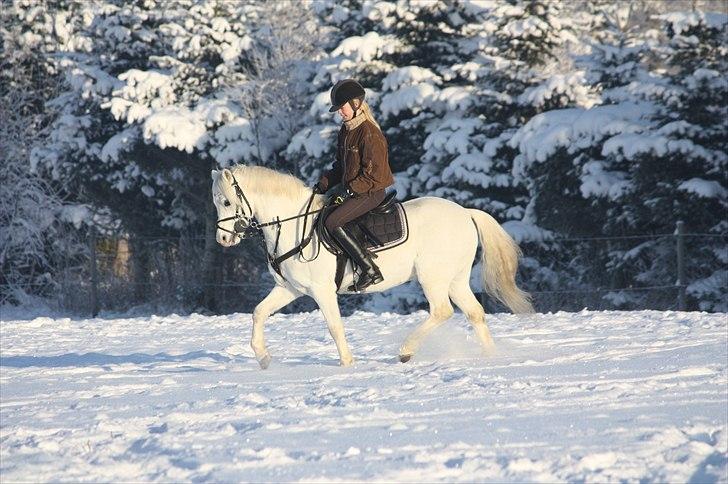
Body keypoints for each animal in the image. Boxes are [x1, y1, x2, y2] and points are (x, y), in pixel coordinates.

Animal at [210, 164, 536, 368]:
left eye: (226, 202)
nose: (223, 239)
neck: (293, 224)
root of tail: (465, 212)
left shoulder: (321, 290)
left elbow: (334, 326)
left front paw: (347, 364)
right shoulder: (290, 289)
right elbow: (258, 313)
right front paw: (263, 358)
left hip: (433, 278)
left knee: (442, 311)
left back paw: (406, 351)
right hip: (455, 279)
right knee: (475, 313)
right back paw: (490, 356)